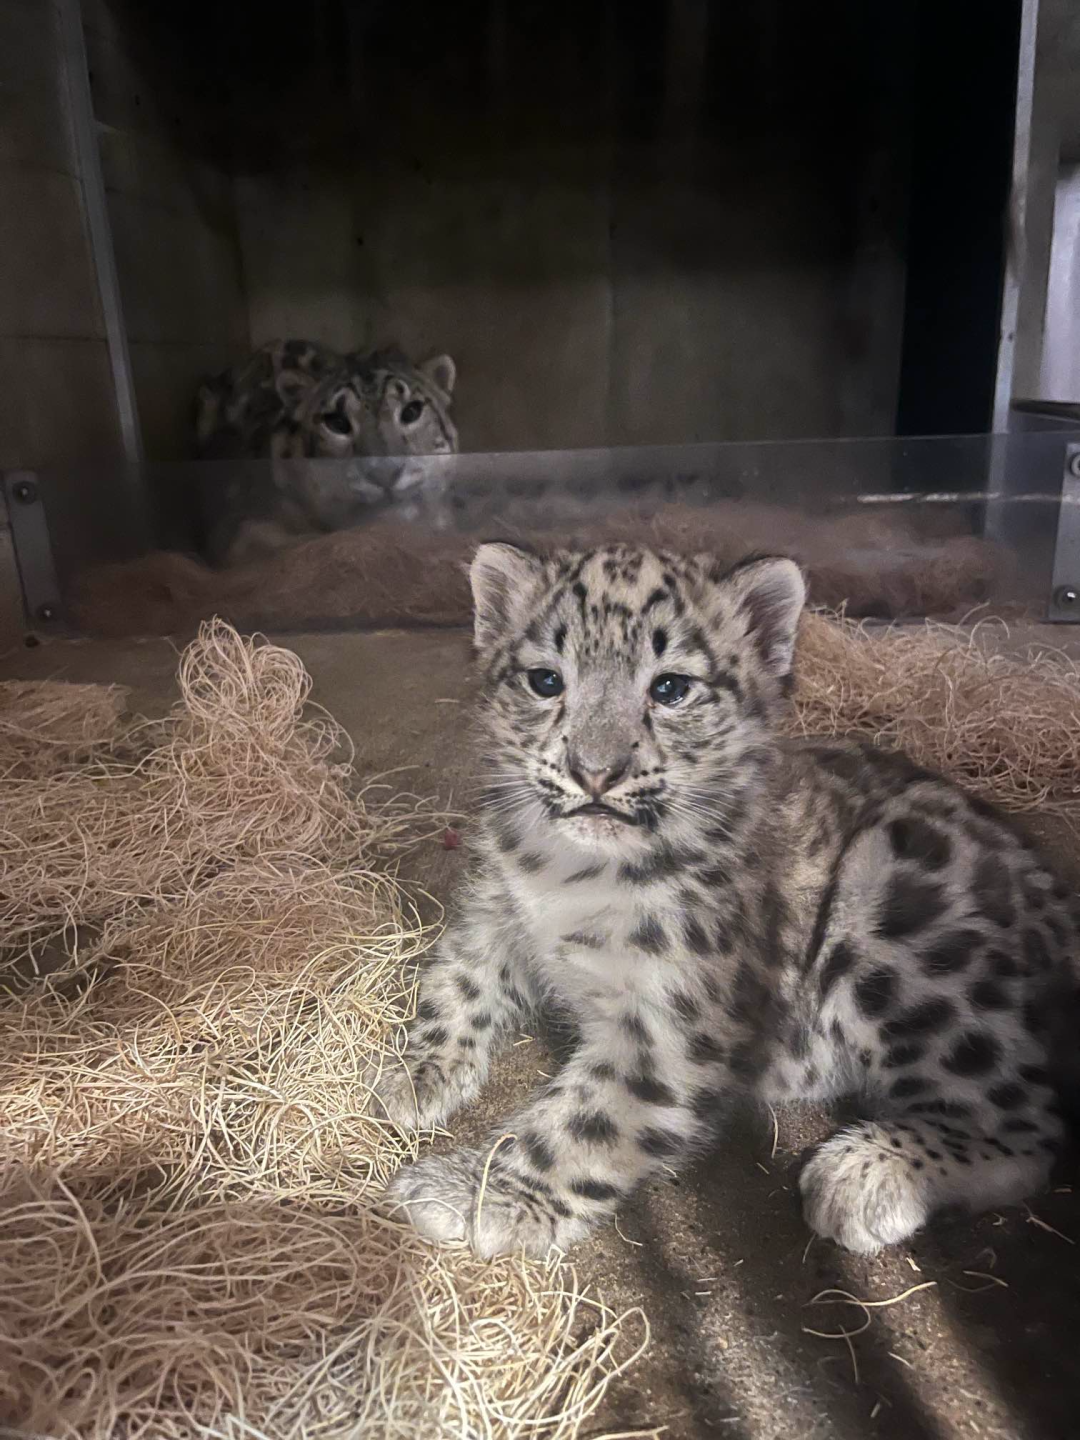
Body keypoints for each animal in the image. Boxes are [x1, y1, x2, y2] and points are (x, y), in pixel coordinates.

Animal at [377, 541, 1079, 1260]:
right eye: (546, 681)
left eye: (670, 688)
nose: (594, 772)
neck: (564, 871)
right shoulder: (492, 914)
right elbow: (455, 980)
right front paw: (413, 1073)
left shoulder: (670, 1030)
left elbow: (584, 1121)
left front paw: (472, 1192)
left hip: (906, 934)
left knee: (1030, 1126)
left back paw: (860, 1173)